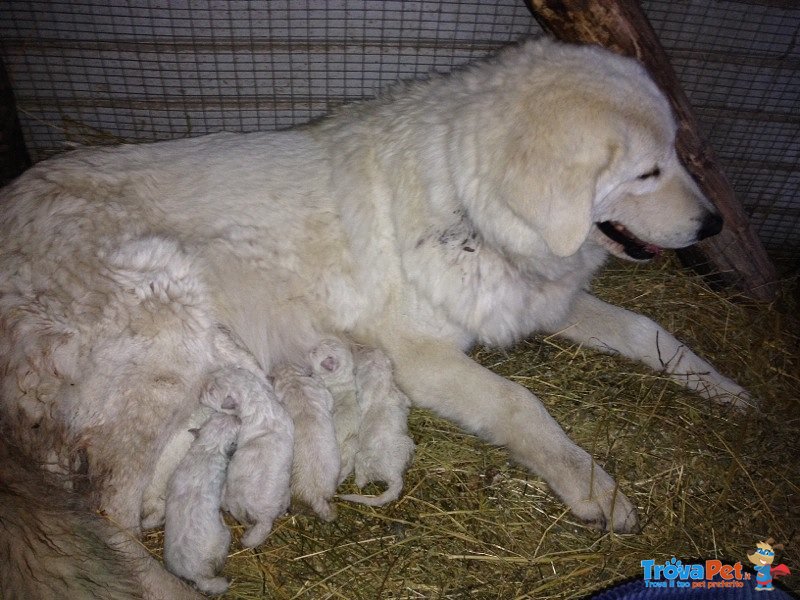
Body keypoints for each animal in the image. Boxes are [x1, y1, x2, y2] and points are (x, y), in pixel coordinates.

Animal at [202, 366, 296, 548]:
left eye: (211, 391)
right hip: (284, 495)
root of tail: (265, 517)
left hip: (235, 501)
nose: (199, 392)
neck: (256, 397)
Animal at [338, 346, 416, 506]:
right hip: (408, 444)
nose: (357, 347)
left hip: (360, 458)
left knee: (361, 480)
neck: (381, 385)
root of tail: (394, 477)